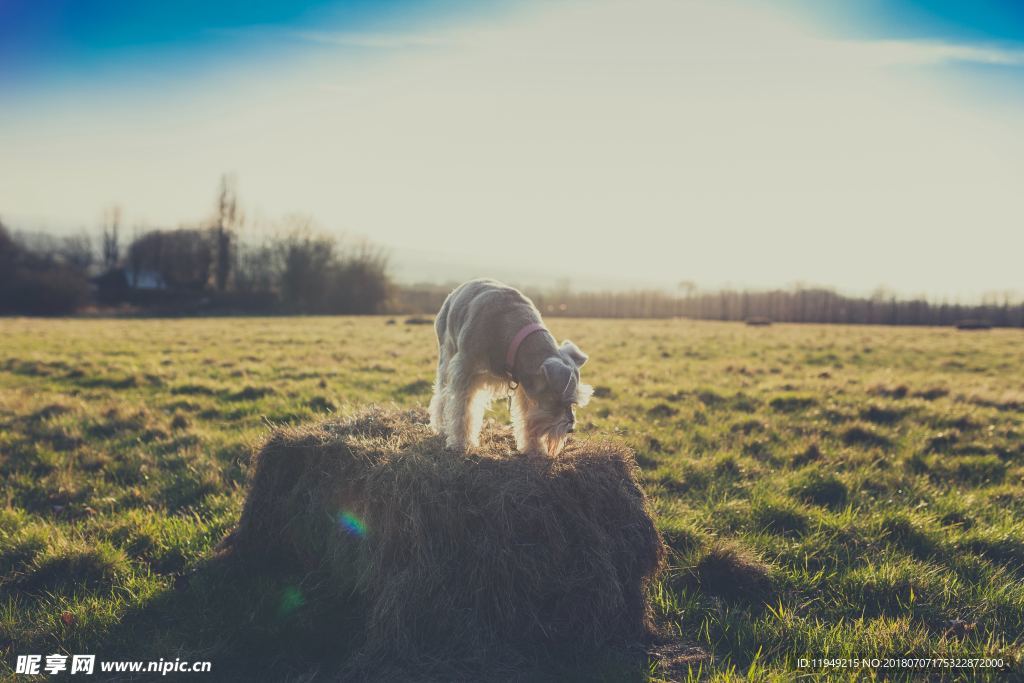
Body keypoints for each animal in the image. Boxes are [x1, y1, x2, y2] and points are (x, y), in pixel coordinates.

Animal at [430, 280, 593, 456]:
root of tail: (456, 291)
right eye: (560, 401)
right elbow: (463, 411)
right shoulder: (465, 371)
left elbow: (526, 417)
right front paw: (460, 443)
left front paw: (534, 448)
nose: (571, 429)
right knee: (441, 395)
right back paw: (441, 426)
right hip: (446, 356)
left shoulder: (525, 387)